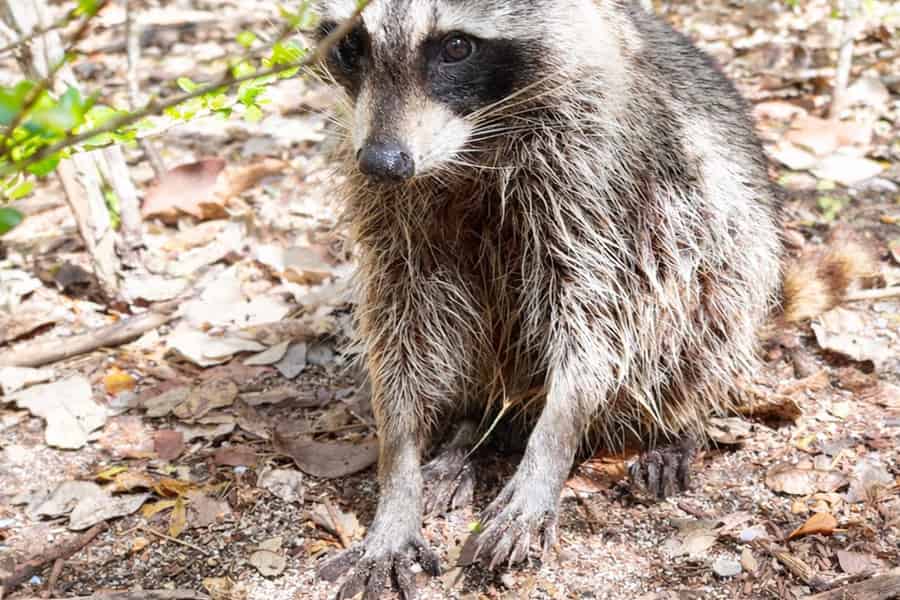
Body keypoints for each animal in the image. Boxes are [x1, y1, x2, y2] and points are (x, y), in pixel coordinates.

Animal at [310, 0, 783, 597]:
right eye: (352, 44)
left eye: (456, 46)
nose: (384, 162)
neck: (472, 146)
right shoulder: (389, 210)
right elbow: (401, 327)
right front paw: (399, 475)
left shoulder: (597, 176)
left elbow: (602, 317)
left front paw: (550, 449)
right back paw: (470, 430)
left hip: (722, 234)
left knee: (707, 298)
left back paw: (676, 423)